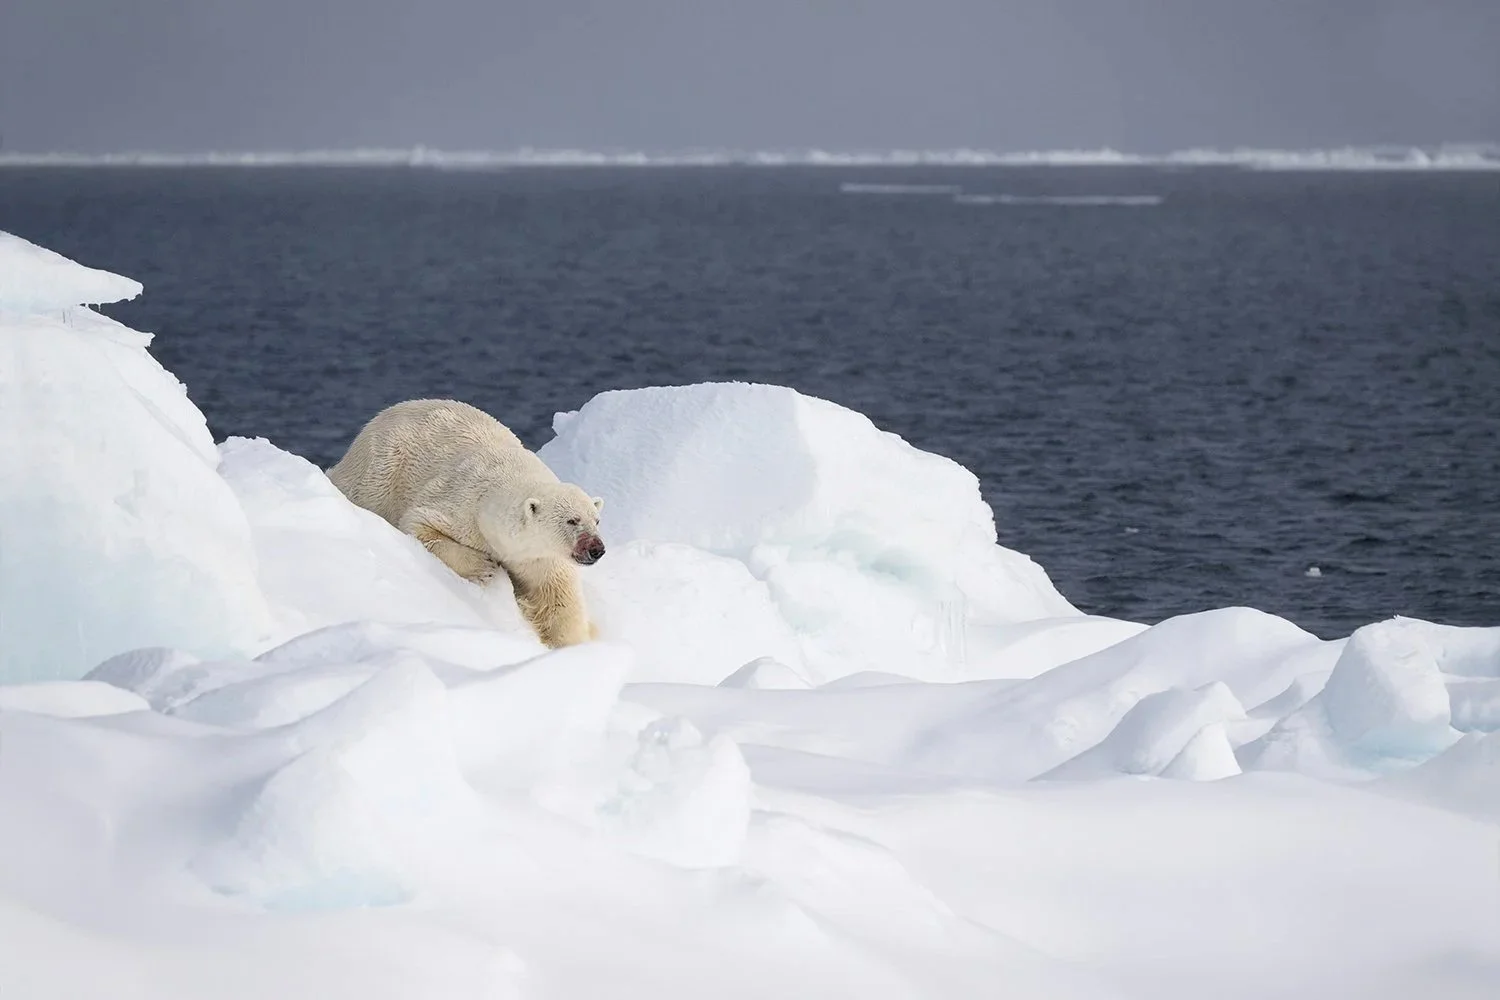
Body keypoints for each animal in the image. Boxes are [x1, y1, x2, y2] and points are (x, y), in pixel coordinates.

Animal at [326, 398, 606, 648]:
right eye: (572, 520)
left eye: (597, 520)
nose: (596, 549)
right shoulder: (460, 505)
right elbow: (420, 525)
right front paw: (484, 567)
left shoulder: (539, 557)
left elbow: (556, 595)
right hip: (381, 469)